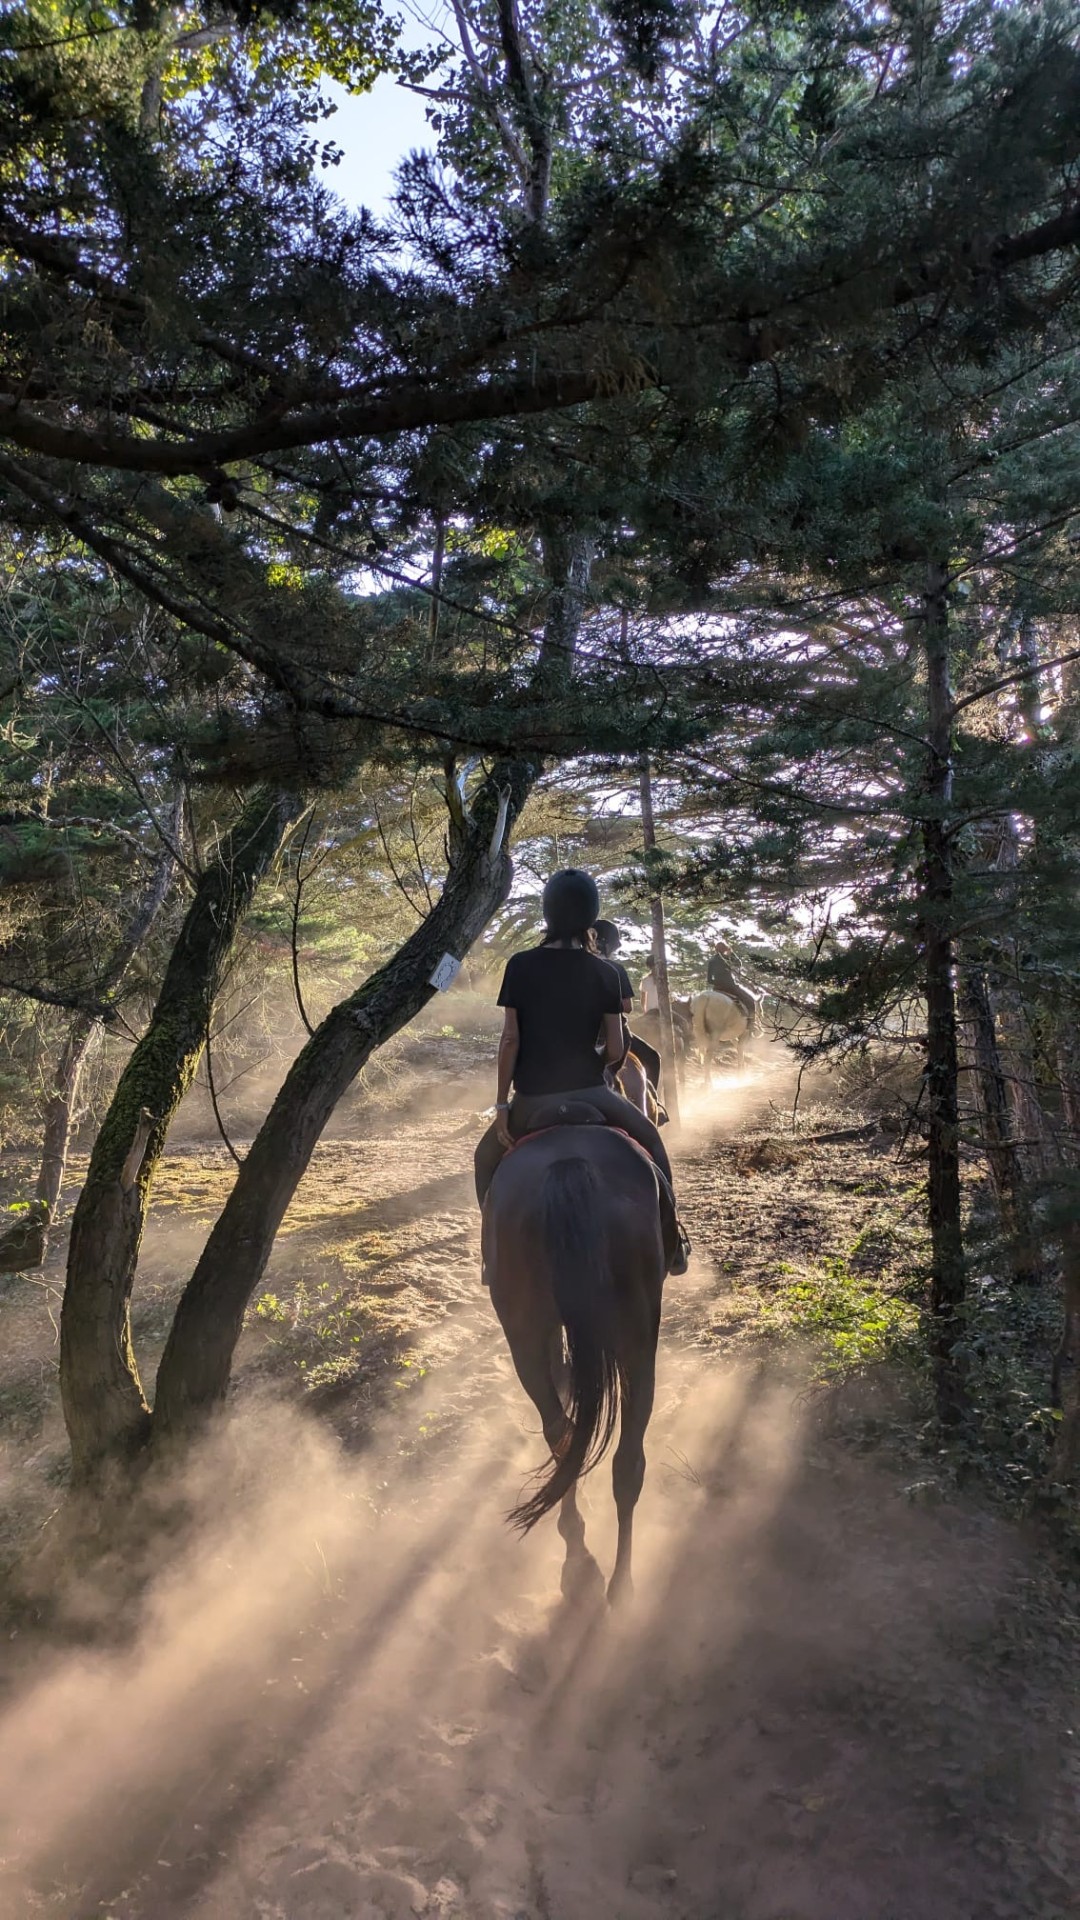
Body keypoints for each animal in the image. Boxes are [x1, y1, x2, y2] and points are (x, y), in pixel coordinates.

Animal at [480, 1113, 664, 1605]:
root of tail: (567, 1167)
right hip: (639, 1338)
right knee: (628, 1462)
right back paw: (621, 1585)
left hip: (523, 1334)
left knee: (560, 1432)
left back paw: (577, 1546)